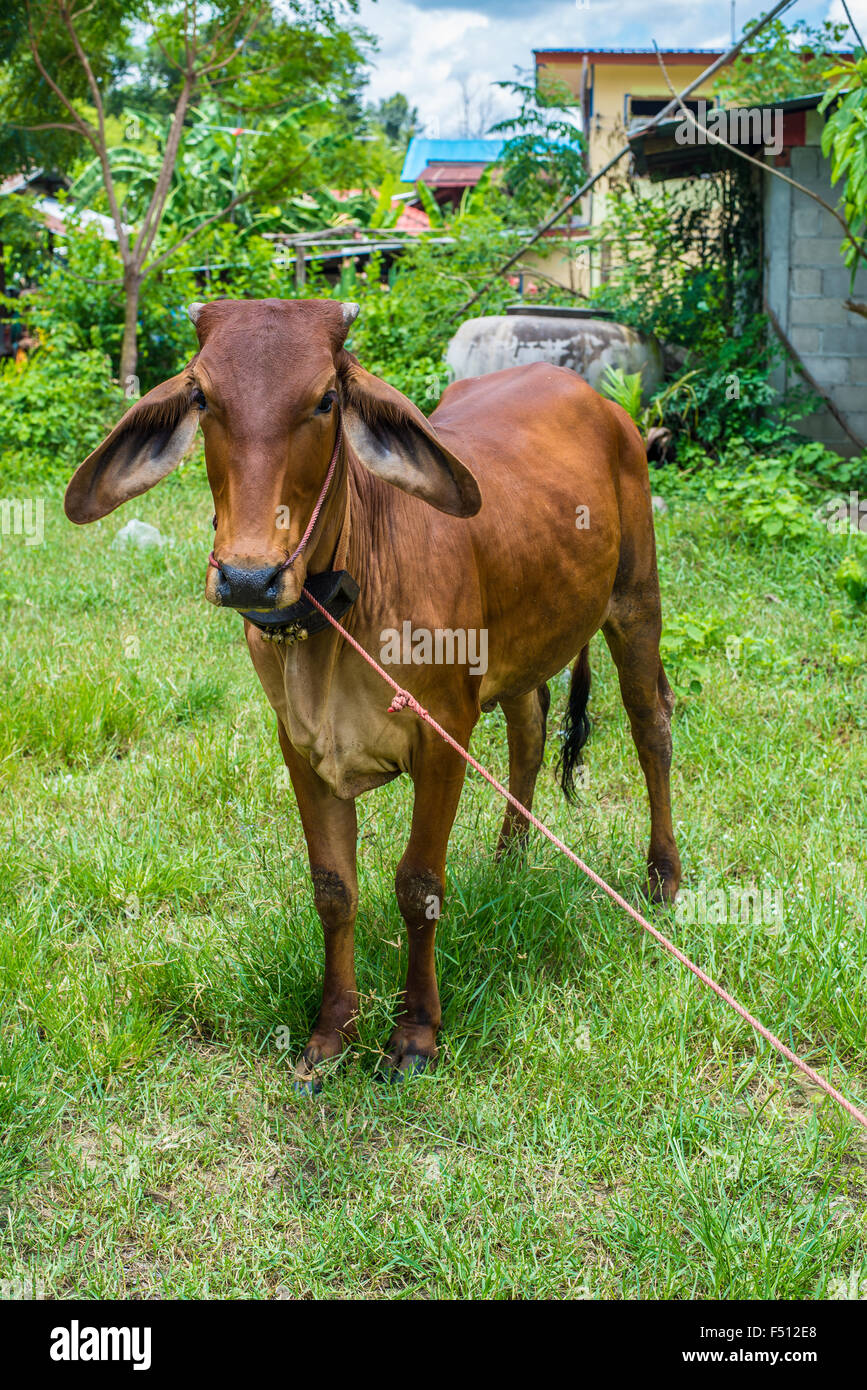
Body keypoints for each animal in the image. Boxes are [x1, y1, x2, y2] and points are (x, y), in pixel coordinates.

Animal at [65, 297, 681, 1091]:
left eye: (325, 399)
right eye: (203, 399)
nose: (248, 577)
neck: (335, 620)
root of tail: (599, 402)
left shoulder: (443, 735)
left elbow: (417, 886)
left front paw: (415, 1034)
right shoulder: (299, 748)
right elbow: (334, 888)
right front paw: (331, 1035)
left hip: (635, 602)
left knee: (650, 726)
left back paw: (662, 878)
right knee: (531, 727)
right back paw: (510, 859)